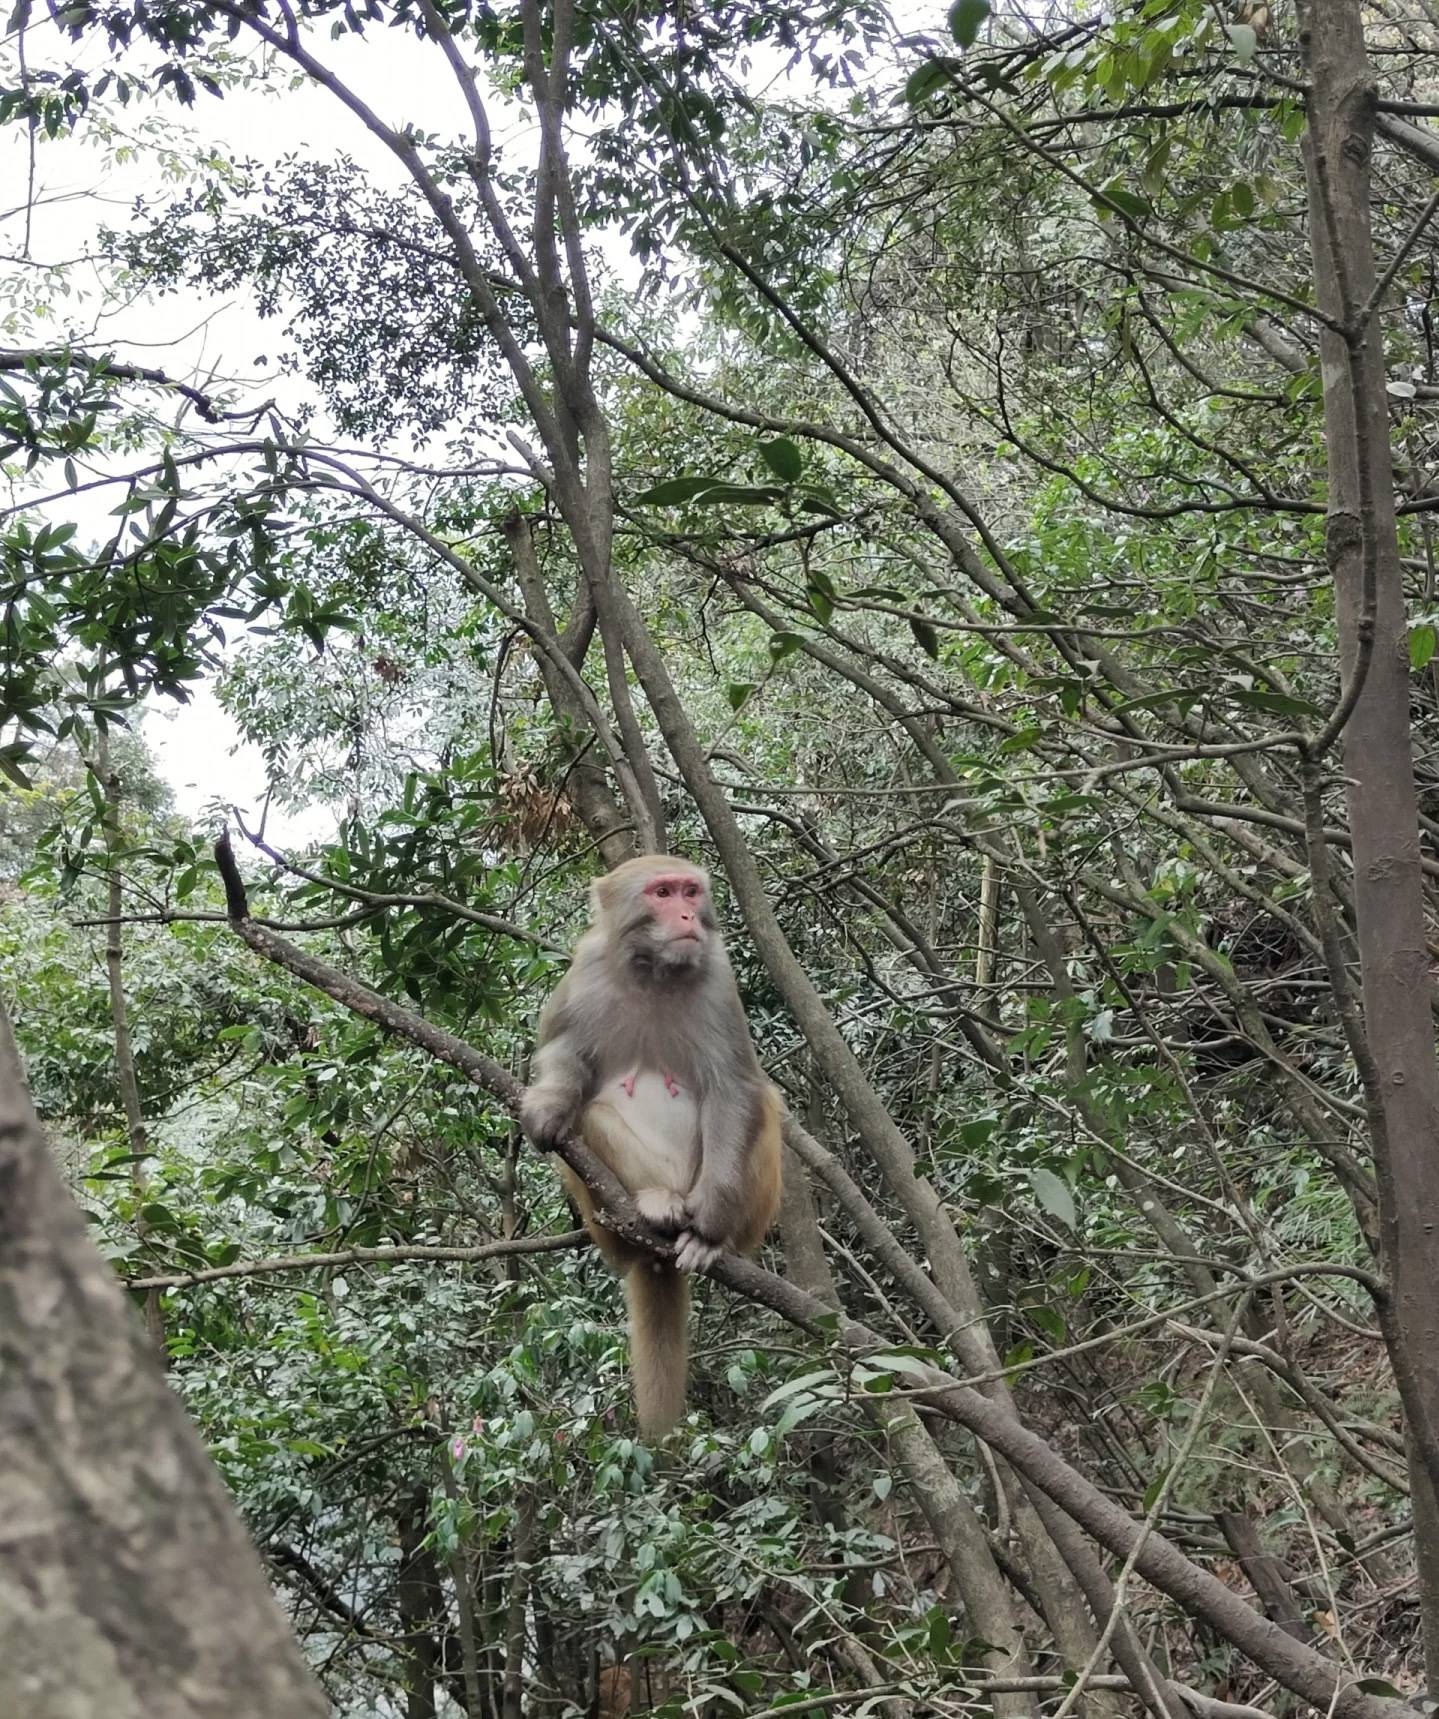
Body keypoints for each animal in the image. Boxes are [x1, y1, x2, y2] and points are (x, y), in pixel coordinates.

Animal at [522, 856, 780, 1437]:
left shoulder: (718, 981)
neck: (652, 973)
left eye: (689, 892)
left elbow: (735, 1089)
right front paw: (549, 1103)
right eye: (661, 894)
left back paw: (707, 1236)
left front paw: (710, 1223)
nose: (686, 915)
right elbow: (562, 1056)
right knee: (589, 1118)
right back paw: (654, 1209)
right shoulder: (584, 975)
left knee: (766, 1105)